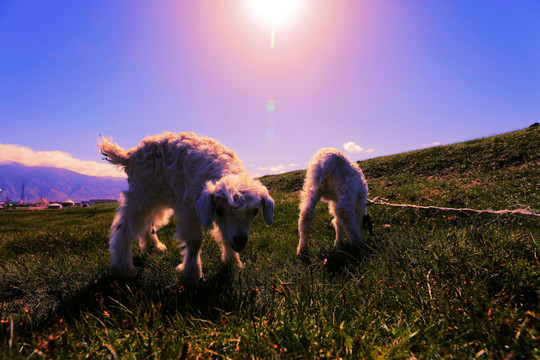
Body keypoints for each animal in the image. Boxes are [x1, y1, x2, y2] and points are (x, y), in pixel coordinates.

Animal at [97, 131, 274, 280]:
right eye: (219, 210)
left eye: (255, 211)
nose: (240, 243)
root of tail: (130, 154)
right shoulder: (190, 208)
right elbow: (195, 240)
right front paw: (192, 273)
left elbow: (225, 234)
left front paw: (234, 262)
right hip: (141, 193)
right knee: (125, 228)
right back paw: (124, 269)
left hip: (156, 197)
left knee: (148, 222)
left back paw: (153, 246)